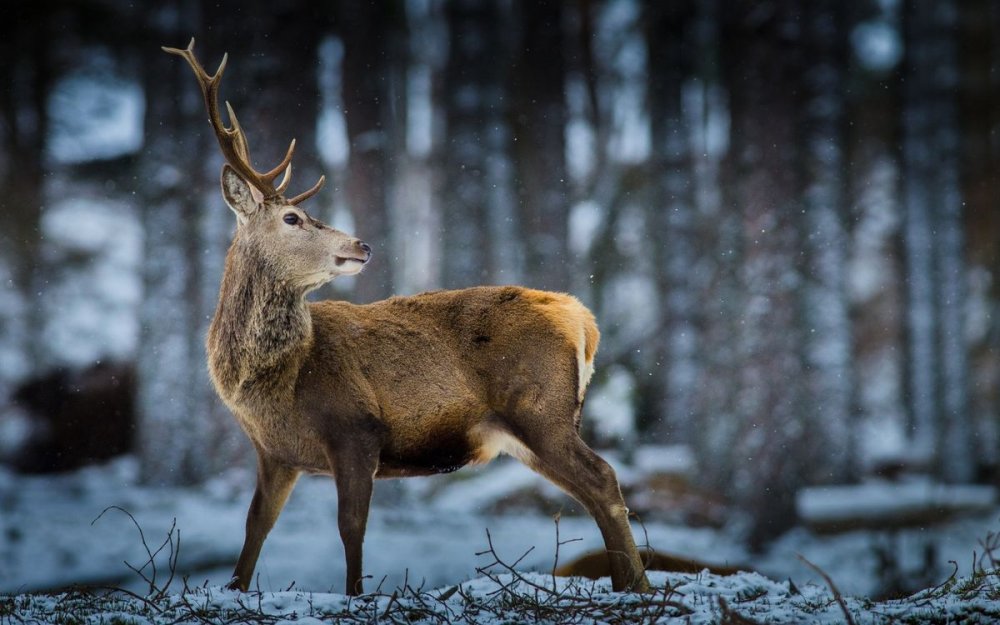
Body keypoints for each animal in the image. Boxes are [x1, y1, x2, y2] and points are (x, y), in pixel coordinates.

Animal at [163, 39, 648, 596]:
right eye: (292, 218)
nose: (362, 245)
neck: (276, 379)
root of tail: (582, 319)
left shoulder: (355, 427)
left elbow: (351, 527)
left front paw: (355, 595)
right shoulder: (274, 452)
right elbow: (255, 528)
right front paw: (236, 589)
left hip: (540, 408)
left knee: (603, 478)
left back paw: (637, 586)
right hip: (530, 429)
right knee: (591, 491)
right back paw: (629, 584)